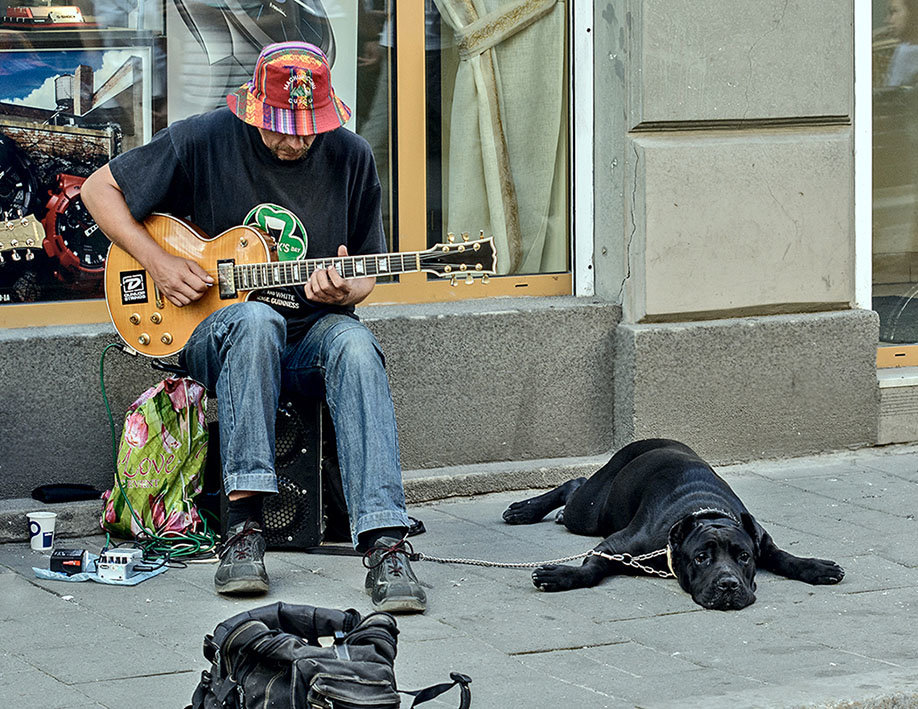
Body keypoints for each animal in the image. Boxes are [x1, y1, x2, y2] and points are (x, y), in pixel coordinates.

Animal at [504, 436, 848, 608]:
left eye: (744, 557)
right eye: (701, 557)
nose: (728, 584)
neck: (707, 513)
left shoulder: (761, 540)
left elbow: (784, 557)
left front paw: (816, 567)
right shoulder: (615, 546)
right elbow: (592, 569)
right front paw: (563, 575)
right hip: (592, 510)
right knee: (574, 484)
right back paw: (524, 510)